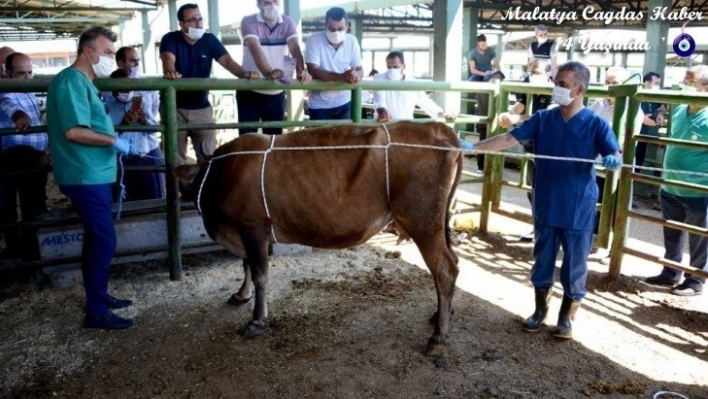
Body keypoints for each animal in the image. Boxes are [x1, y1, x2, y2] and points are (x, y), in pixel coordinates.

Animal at [177, 121, 464, 356]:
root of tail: (441, 130)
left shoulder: (253, 227)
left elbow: (259, 274)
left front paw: (257, 320)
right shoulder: (246, 231)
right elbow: (246, 264)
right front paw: (241, 294)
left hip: (424, 224)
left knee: (444, 270)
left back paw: (438, 338)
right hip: (438, 225)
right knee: (453, 264)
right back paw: (441, 314)